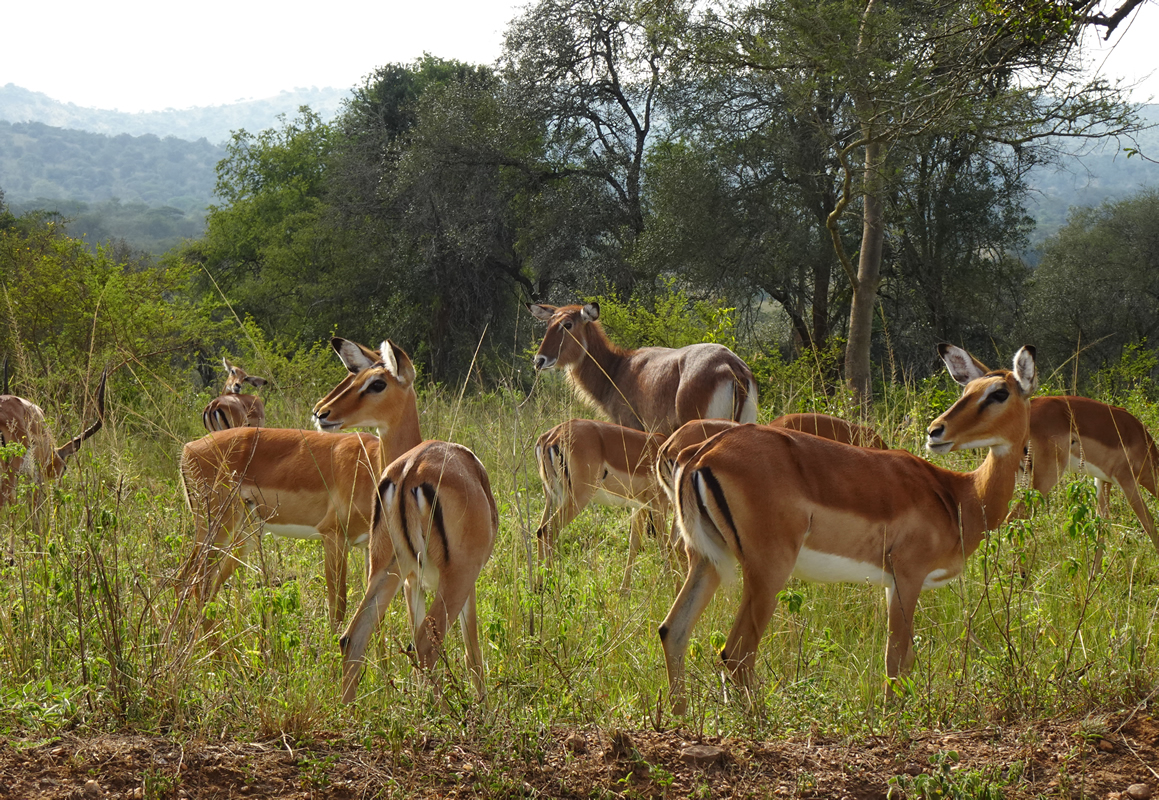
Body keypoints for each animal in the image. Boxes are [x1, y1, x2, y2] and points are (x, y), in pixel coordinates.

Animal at [310, 338, 496, 700]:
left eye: (375, 383)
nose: (322, 413)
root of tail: (411, 469)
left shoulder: (412, 582)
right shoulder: (463, 581)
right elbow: (472, 653)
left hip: (386, 568)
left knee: (352, 638)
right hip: (455, 577)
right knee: (425, 646)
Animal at [528, 301, 760, 435]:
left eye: (567, 324)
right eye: (549, 324)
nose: (539, 360)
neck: (616, 368)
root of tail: (731, 365)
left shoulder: (632, 427)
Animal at [662, 343, 1043, 709]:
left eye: (998, 392)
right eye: (969, 391)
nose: (936, 431)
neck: (958, 496)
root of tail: (701, 454)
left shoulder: (892, 583)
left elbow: (904, 660)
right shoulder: (908, 576)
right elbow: (895, 660)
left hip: (706, 560)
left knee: (673, 632)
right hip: (768, 571)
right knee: (736, 653)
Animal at [945, 347, 1159, 554]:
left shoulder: (1103, 481)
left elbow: (1101, 529)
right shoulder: (1127, 480)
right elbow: (1150, 524)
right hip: (1045, 478)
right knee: (1015, 517)